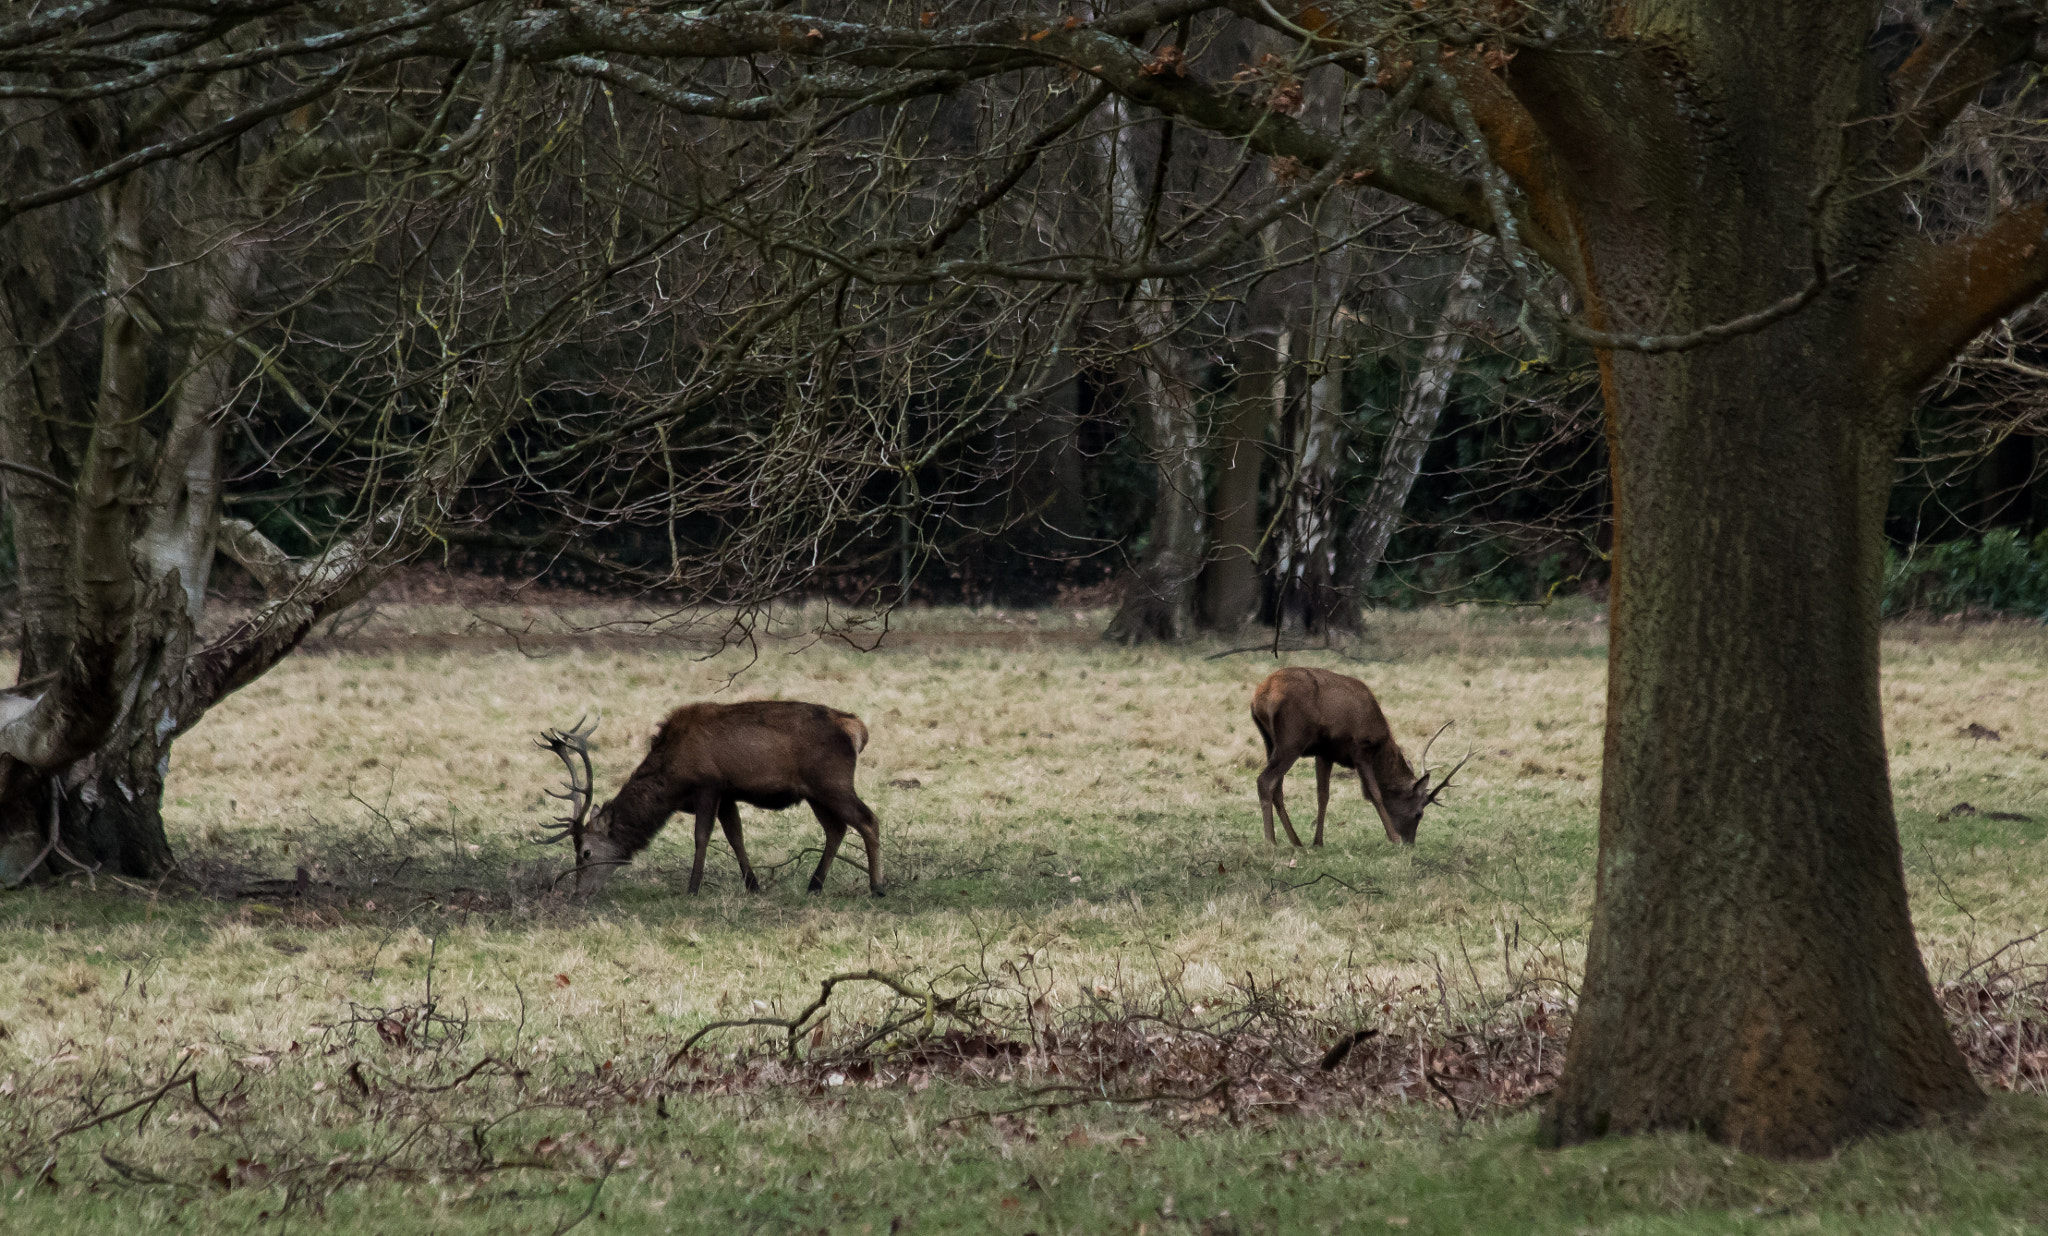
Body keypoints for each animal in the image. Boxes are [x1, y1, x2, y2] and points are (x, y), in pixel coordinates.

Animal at [534, 700, 883, 896]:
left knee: (868, 820)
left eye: (586, 853)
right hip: (815, 792)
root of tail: (857, 729)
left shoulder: (708, 785)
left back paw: (876, 887)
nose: (579, 894)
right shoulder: (727, 795)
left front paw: (692, 888)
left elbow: (701, 835)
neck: (673, 783)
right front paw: (753, 886)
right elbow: (735, 836)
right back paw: (814, 885)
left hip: (832, 780)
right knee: (836, 829)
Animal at [1249, 667, 1468, 847]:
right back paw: (1271, 842)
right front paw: (1393, 839)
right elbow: (1374, 793)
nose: (1410, 842)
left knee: (1277, 787)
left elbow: (1323, 795)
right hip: (1292, 739)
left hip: (1270, 741)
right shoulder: (1360, 748)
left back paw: (1296, 842)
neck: (1380, 740)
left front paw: (1318, 842)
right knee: (1265, 780)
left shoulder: (1325, 752)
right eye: (1419, 813)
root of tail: (1260, 697)